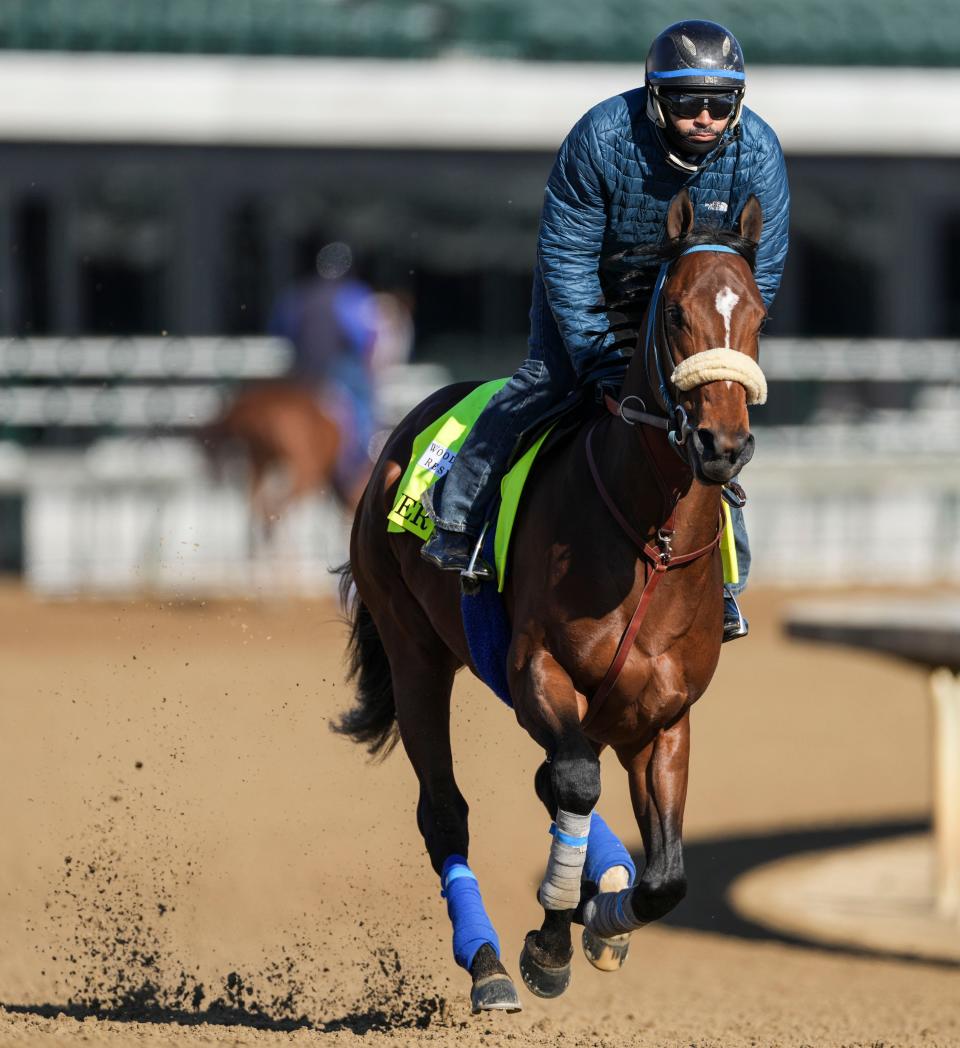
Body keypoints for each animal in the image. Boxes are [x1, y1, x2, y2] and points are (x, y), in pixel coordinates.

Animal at [333, 190, 767, 1014]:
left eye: (758, 313)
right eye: (676, 315)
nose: (722, 444)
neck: (652, 544)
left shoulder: (661, 715)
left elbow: (665, 876)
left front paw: (604, 917)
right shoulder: (537, 668)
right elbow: (572, 783)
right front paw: (552, 941)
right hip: (414, 652)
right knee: (447, 810)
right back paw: (487, 963)